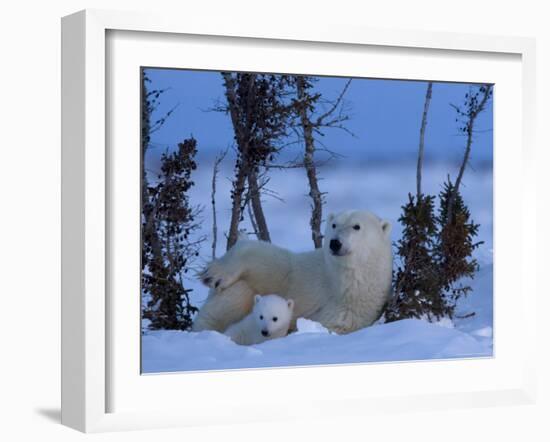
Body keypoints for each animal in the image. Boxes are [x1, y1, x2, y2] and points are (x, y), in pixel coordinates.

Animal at [193, 212, 392, 334]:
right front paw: (214, 275)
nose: (335, 243)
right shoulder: (306, 273)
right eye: (334, 225)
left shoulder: (350, 312)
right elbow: (272, 262)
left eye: (357, 226)